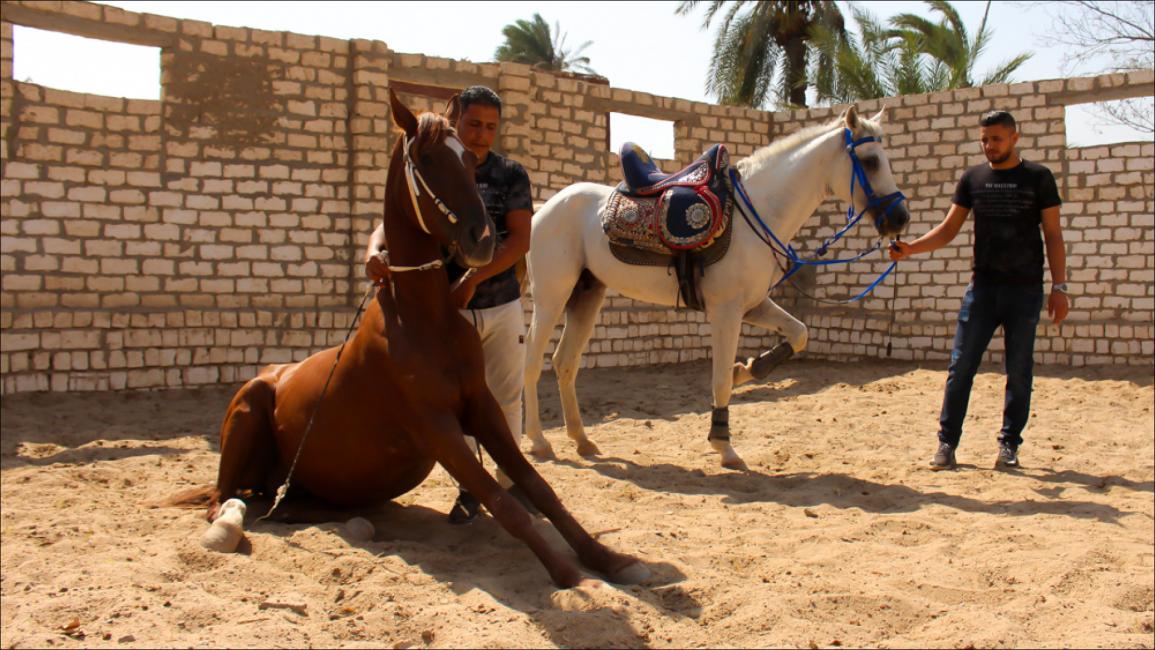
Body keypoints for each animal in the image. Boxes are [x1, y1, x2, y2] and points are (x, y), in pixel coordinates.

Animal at [194, 91, 656, 591]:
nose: (482, 239)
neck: (425, 320)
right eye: (427, 159)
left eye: (470, 162)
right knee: (222, 499)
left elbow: (539, 488)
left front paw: (610, 559)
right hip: (247, 411)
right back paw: (229, 524)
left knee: (283, 501)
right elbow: (506, 505)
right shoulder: (436, 427)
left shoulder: (482, 409)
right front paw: (573, 576)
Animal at [524, 106, 910, 468]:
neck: (756, 214)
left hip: (586, 296)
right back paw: (539, 442)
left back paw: (581, 440)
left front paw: (749, 368)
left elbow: (798, 334)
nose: (900, 217)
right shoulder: (726, 311)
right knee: (533, 359)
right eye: (870, 161)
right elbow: (720, 379)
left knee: (565, 363)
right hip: (551, 297)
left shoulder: (754, 305)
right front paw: (723, 444)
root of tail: (543, 210)